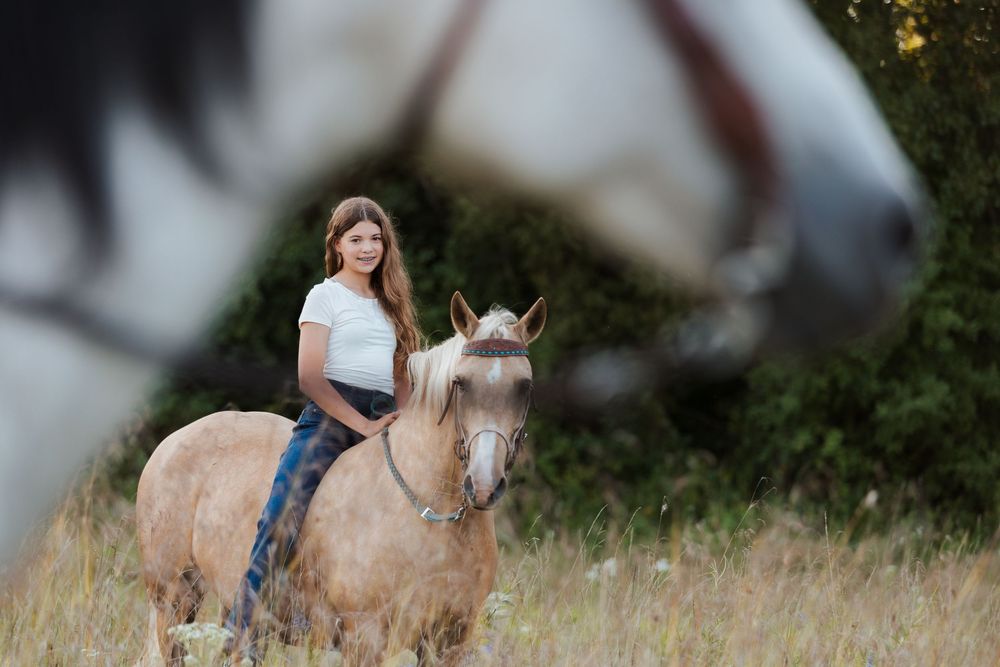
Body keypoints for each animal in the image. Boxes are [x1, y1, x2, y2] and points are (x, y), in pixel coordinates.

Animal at [135, 293, 545, 664]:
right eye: (461, 383)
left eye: (525, 387)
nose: (484, 486)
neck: (433, 517)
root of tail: (170, 443)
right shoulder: (365, 637)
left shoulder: (450, 640)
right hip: (173, 600)